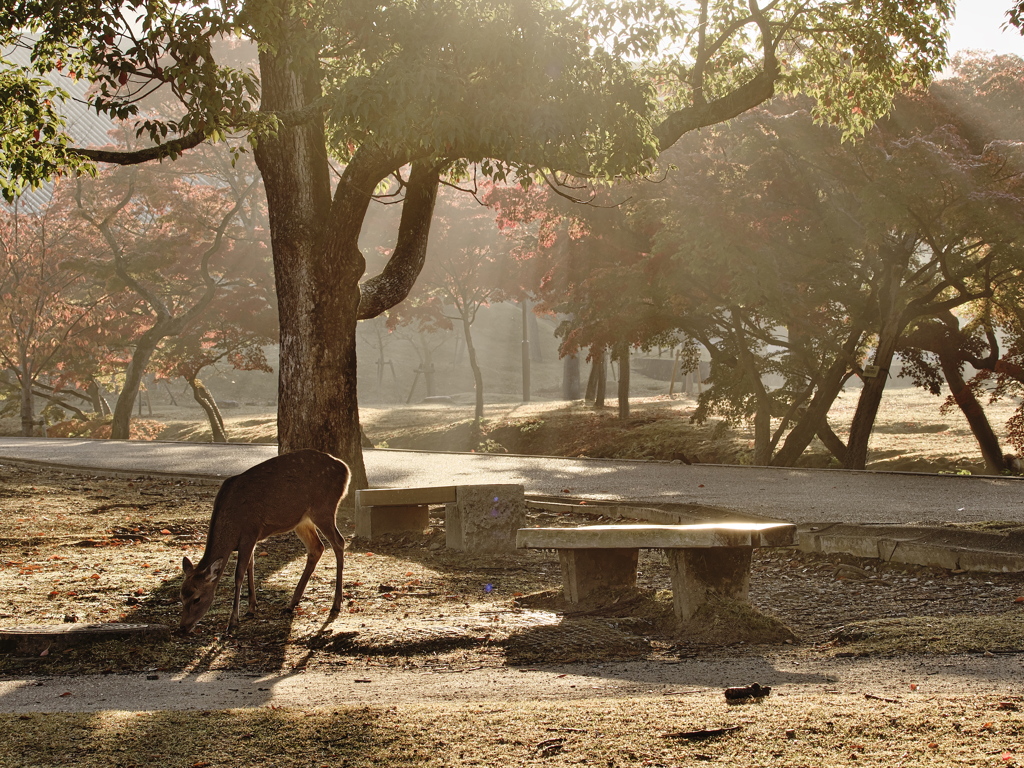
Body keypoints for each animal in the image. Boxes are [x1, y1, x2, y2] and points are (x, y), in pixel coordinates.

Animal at [178, 448, 350, 634]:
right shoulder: (250, 539)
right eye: (181, 596)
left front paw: (233, 621)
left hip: (323, 508)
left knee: (339, 542)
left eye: (197, 598)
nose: (183, 627)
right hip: (302, 520)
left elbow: (239, 574)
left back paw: (336, 603)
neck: (231, 526)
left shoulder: (249, 533)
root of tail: (345, 469)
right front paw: (251, 608)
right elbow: (250, 568)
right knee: (317, 548)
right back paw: (291, 604)